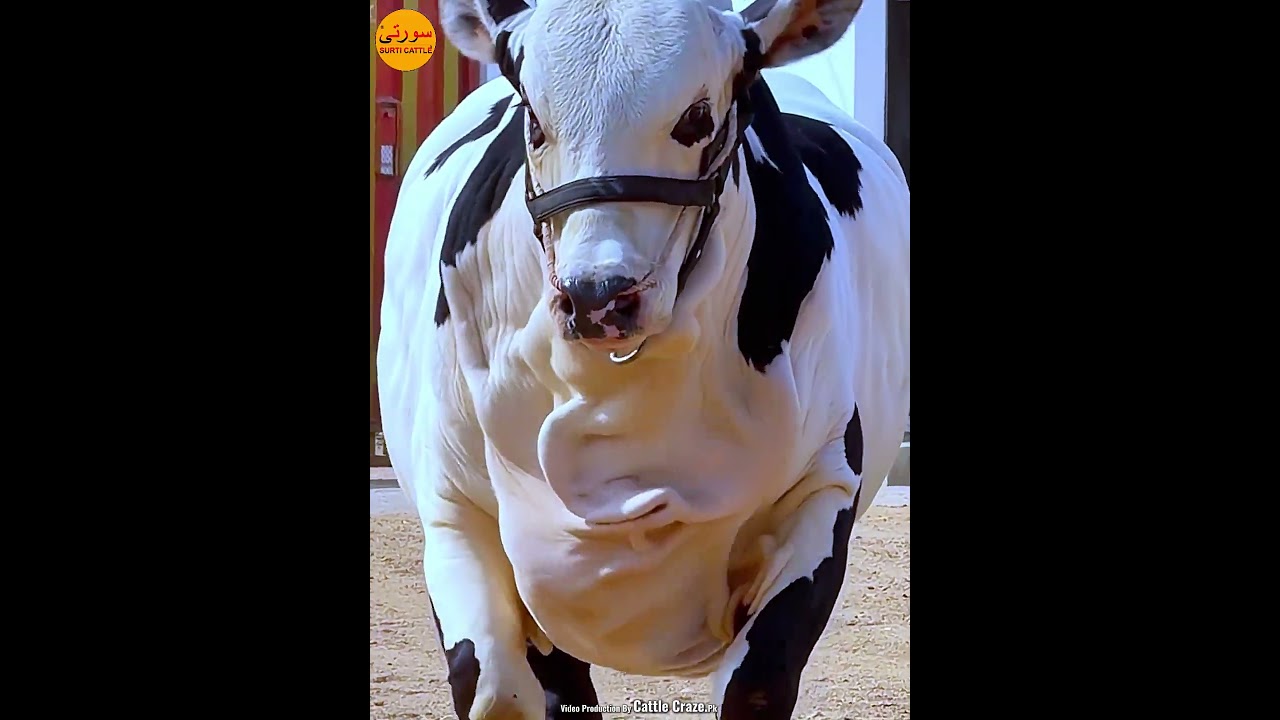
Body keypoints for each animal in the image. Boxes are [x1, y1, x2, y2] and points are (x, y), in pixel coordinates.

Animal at [376, 0, 910, 717]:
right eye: (534, 119)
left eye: (698, 116)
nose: (598, 293)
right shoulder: (455, 508)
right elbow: (492, 683)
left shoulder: (822, 489)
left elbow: (759, 679)